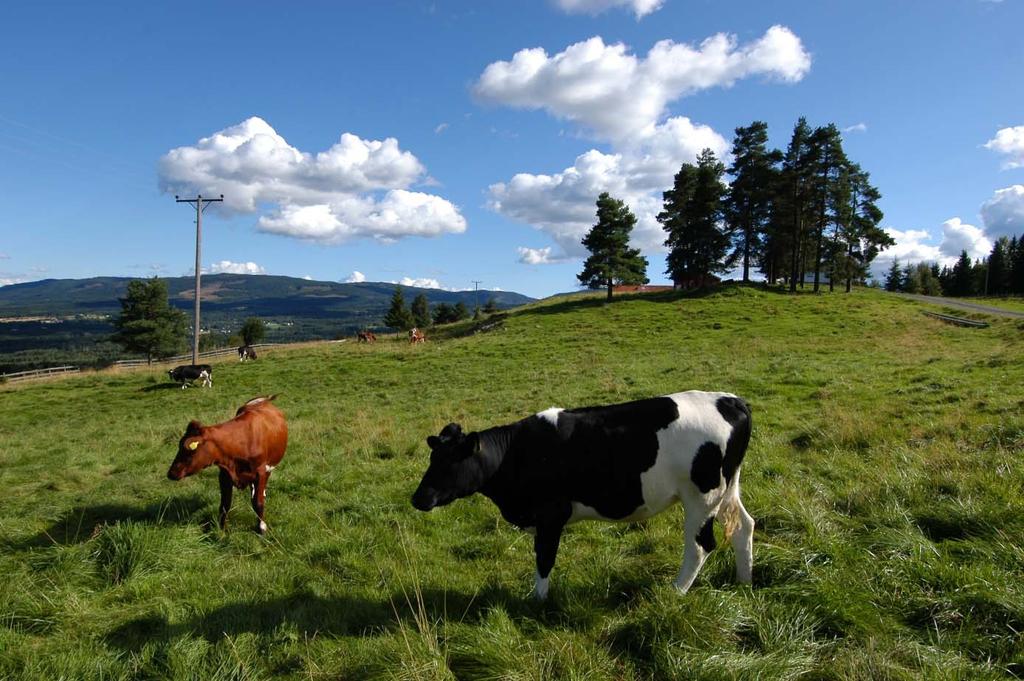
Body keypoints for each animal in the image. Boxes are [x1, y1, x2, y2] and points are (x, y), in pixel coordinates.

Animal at [165, 395, 288, 532]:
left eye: (189, 450)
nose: (171, 473)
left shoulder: (260, 472)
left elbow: (258, 502)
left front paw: (261, 527)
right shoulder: (224, 475)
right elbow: (225, 504)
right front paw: (222, 529)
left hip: (268, 468)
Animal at [411, 391, 757, 598]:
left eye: (450, 462)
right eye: (432, 458)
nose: (418, 498)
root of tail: (730, 399)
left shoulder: (550, 516)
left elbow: (544, 559)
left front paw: (537, 601)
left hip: (702, 496)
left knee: (700, 546)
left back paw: (674, 592)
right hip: (727, 489)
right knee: (743, 526)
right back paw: (744, 581)